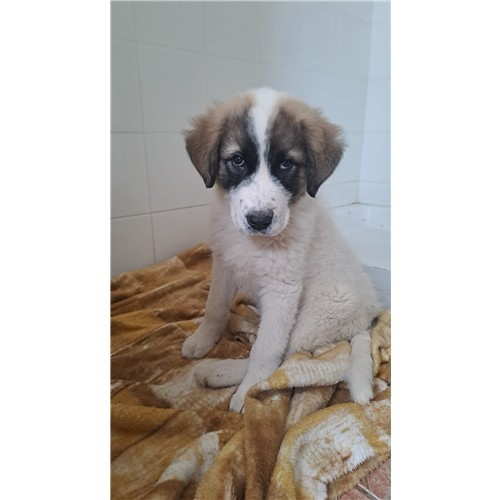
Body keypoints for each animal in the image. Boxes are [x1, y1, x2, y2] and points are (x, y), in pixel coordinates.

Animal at [181, 88, 382, 412]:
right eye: (238, 160)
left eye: (286, 164)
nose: (259, 220)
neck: (253, 243)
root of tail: (369, 318)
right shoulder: (224, 263)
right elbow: (214, 308)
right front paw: (202, 339)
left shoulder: (282, 290)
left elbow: (265, 351)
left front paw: (248, 393)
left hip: (314, 317)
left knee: (283, 354)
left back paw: (220, 371)